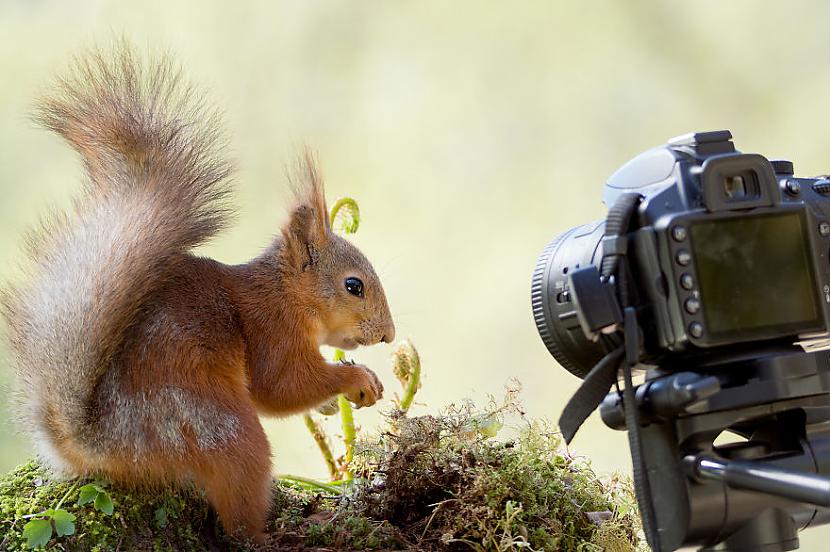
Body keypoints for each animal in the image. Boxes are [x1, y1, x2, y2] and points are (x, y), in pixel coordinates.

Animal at [0, 46, 396, 540]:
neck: (286, 294)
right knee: (241, 510)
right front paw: (355, 379)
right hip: (216, 428)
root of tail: (102, 444)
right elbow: (282, 387)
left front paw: (334, 403)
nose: (388, 335)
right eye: (353, 285)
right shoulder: (272, 331)